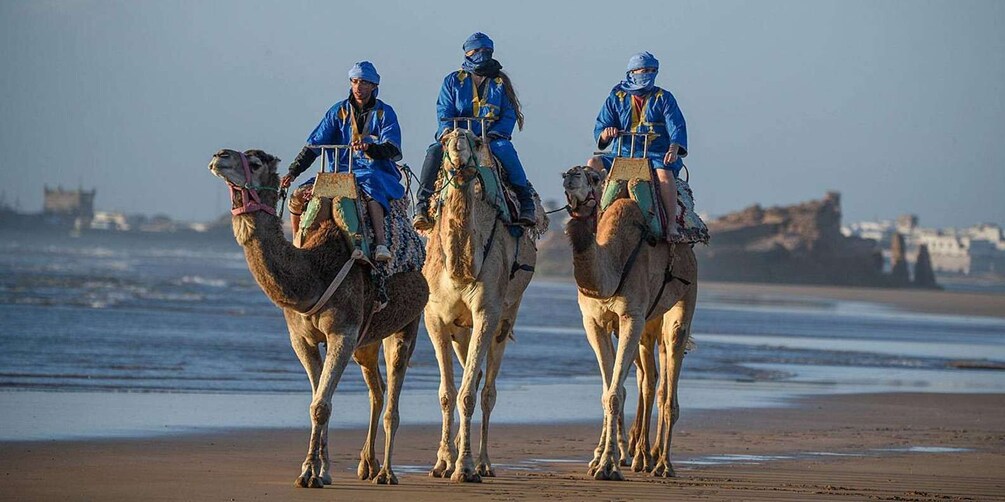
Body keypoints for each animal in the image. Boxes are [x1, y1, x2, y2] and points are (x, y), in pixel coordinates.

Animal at [208, 147, 428, 485]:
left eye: (255, 163)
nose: (220, 155)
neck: (313, 274)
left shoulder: (342, 332)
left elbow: (321, 405)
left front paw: (309, 473)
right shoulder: (302, 339)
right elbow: (316, 399)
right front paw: (321, 470)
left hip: (408, 324)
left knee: (393, 394)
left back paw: (388, 473)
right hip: (367, 340)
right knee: (376, 390)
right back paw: (368, 464)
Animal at [424, 128, 550, 481]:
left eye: (475, 141)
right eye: (445, 141)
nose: (459, 152)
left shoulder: (486, 312)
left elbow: (468, 394)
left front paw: (465, 467)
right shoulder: (435, 317)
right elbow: (447, 393)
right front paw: (443, 462)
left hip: (507, 315)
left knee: (487, 389)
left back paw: (483, 462)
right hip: (460, 330)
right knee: (475, 375)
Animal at [562, 164, 695, 477]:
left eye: (594, 178)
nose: (570, 175)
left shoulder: (631, 316)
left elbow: (614, 394)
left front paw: (607, 466)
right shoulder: (593, 322)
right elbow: (609, 391)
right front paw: (599, 459)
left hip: (684, 299)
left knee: (667, 384)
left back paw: (662, 463)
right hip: (650, 324)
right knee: (651, 377)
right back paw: (645, 456)